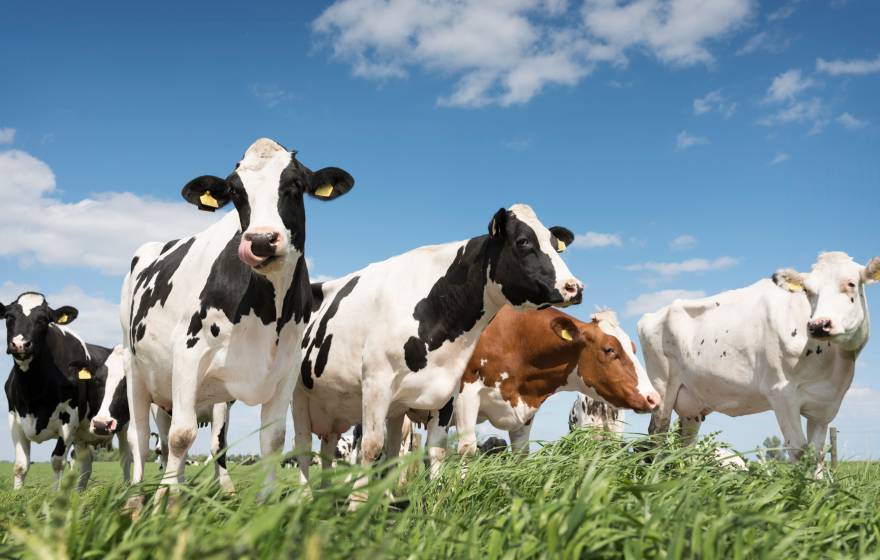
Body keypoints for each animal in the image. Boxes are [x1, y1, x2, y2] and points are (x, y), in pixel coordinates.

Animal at [2, 292, 131, 490]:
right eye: (9, 317)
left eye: (43, 319)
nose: (20, 344)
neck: (33, 391)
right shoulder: (14, 419)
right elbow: (20, 465)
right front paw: (18, 494)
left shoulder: (69, 421)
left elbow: (57, 461)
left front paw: (55, 496)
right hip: (83, 436)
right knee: (86, 464)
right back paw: (80, 492)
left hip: (124, 425)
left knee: (126, 459)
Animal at [121, 138, 355, 502]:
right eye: (235, 192)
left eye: (295, 185)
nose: (260, 240)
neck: (267, 312)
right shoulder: (188, 354)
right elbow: (181, 436)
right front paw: (167, 503)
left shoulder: (285, 368)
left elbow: (272, 439)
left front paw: (265, 502)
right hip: (135, 369)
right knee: (141, 438)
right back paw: (138, 498)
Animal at [292, 203, 583, 506]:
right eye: (524, 241)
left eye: (555, 245)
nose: (574, 287)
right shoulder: (376, 382)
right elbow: (371, 447)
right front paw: (356, 506)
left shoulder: (446, 391)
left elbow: (435, 450)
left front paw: (434, 501)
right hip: (298, 393)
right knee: (303, 445)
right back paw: (304, 497)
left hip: (346, 406)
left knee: (336, 447)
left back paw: (332, 496)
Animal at [453, 307, 658, 462]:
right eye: (609, 349)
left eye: (634, 348)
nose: (654, 398)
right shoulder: (467, 393)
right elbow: (467, 449)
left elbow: (521, 454)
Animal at [639, 252, 879, 470]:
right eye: (808, 291)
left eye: (851, 283)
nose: (819, 325)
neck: (834, 364)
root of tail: (652, 315)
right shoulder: (781, 393)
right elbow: (799, 452)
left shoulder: (825, 405)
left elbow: (817, 456)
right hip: (661, 389)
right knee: (656, 437)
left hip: (691, 404)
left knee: (685, 445)